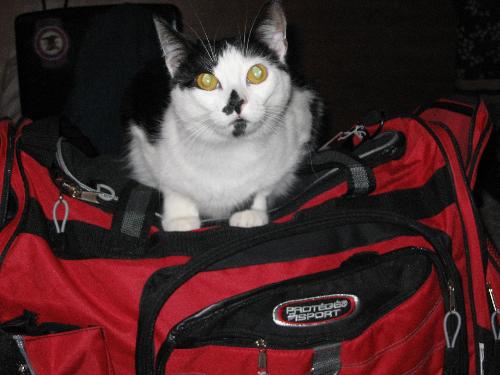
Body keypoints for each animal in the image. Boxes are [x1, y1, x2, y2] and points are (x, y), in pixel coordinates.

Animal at [125, 0, 320, 232]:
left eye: (257, 73)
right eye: (206, 81)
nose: (236, 103)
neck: (227, 151)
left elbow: (263, 185)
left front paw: (249, 211)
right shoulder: (147, 141)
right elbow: (172, 184)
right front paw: (180, 218)